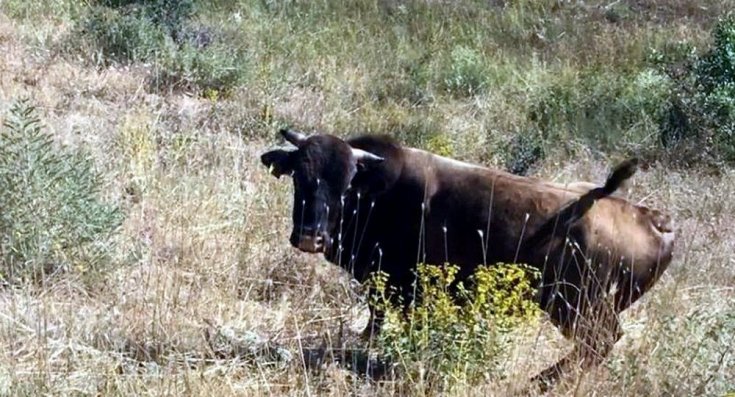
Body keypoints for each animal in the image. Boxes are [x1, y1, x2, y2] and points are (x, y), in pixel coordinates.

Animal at [262, 129, 676, 386]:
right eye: (300, 175)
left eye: (347, 183)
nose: (310, 237)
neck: (381, 191)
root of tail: (651, 218)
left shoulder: (404, 286)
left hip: (577, 308)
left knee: (599, 343)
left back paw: (538, 381)